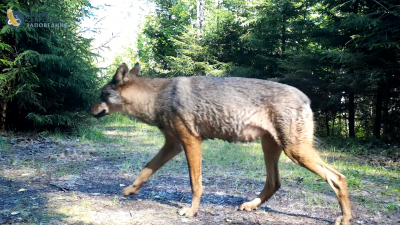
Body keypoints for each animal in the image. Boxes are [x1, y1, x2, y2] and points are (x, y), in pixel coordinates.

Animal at [86, 62, 350, 224]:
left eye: (101, 94)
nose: (88, 110)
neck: (156, 97)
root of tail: (306, 97)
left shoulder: (191, 142)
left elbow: (196, 184)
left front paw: (191, 211)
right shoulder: (173, 145)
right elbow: (146, 170)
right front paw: (131, 190)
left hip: (296, 152)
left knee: (338, 178)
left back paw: (345, 218)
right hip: (272, 149)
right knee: (274, 183)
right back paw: (251, 205)